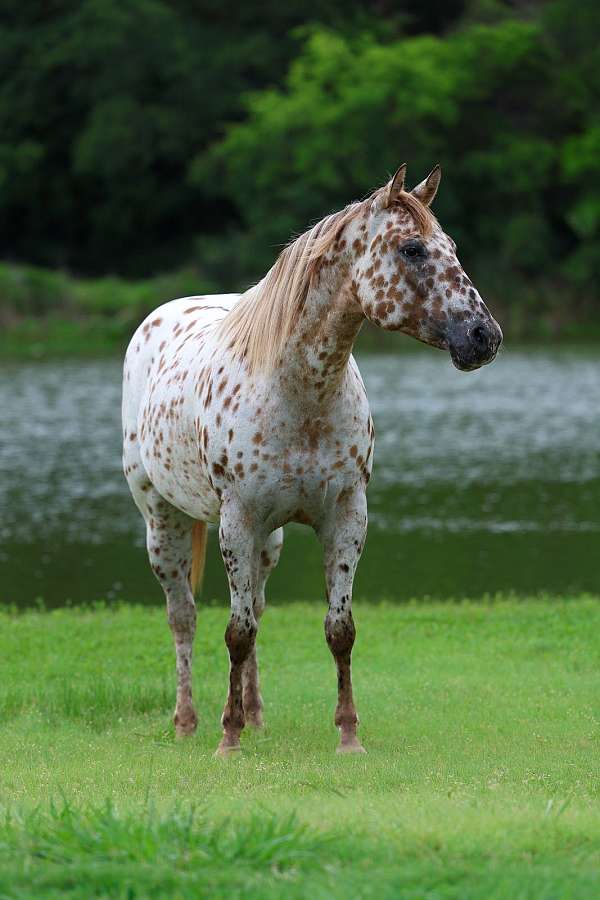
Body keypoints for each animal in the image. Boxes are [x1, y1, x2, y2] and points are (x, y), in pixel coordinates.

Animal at [122, 164, 502, 755]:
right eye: (413, 249)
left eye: (452, 247)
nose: (484, 336)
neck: (298, 393)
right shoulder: (237, 522)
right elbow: (235, 632)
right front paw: (227, 741)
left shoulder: (345, 516)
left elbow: (336, 629)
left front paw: (347, 736)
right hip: (163, 522)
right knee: (183, 616)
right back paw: (187, 721)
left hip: (269, 541)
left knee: (254, 605)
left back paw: (255, 715)